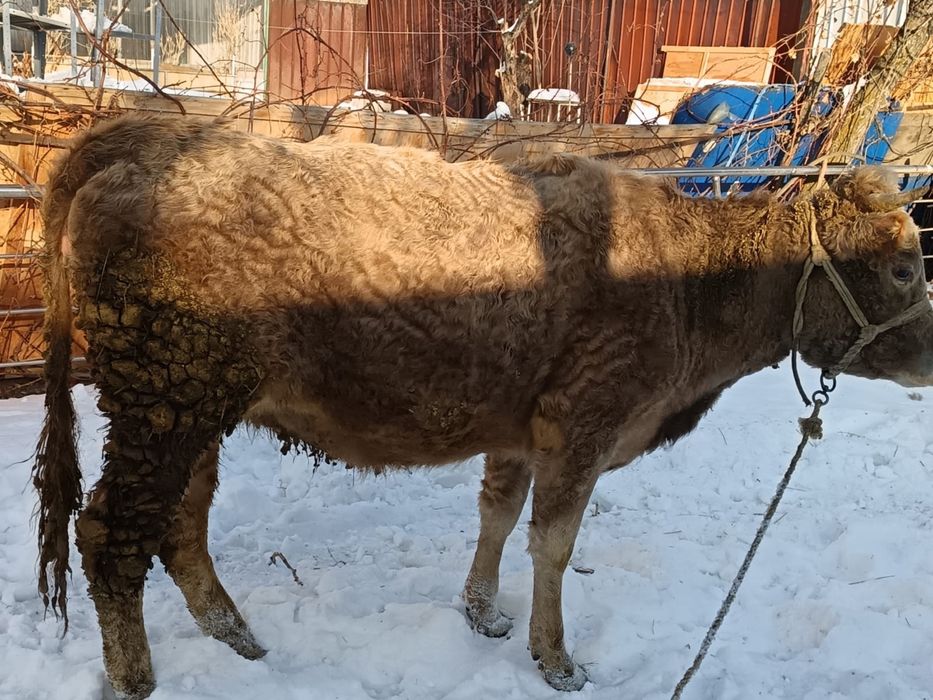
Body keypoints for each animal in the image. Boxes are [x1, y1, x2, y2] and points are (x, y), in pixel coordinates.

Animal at [33, 113, 933, 698]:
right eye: (899, 268)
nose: (929, 356)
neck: (689, 286)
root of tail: (152, 140)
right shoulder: (585, 420)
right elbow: (554, 544)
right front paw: (556, 659)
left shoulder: (523, 424)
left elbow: (498, 513)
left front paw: (481, 612)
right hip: (164, 400)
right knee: (111, 533)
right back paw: (135, 679)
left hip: (189, 405)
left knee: (180, 523)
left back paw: (234, 633)